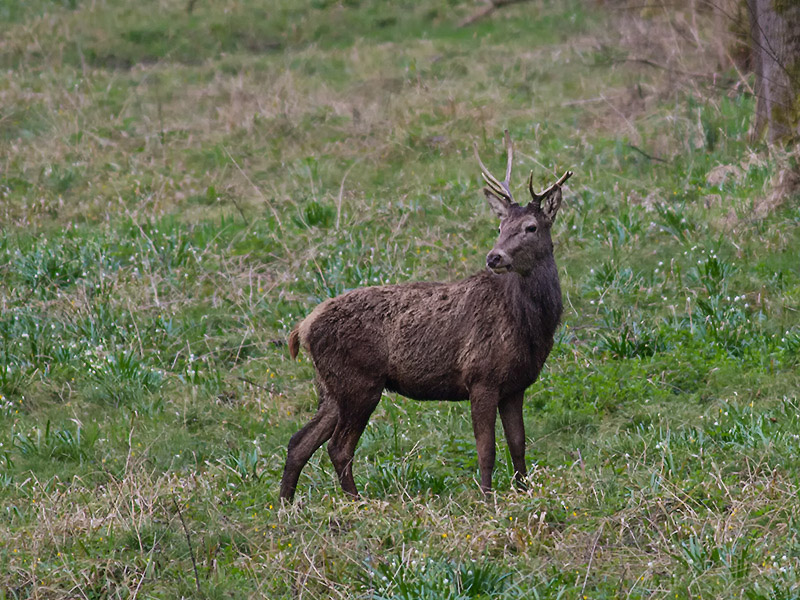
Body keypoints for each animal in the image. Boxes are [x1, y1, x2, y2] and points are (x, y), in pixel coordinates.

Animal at [278, 132, 572, 502]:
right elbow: (486, 448)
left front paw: (523, 492)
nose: (494, 257)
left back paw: (287, 505)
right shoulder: (481, 377)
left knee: (299, 442)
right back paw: (357, 503)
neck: (529, 326)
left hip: (331, 388)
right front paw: (486, 499)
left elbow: (518, 444)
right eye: (501, 225)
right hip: (358, 382)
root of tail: (303, 327)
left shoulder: (516, 385)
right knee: (338, 447)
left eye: (531, 227)